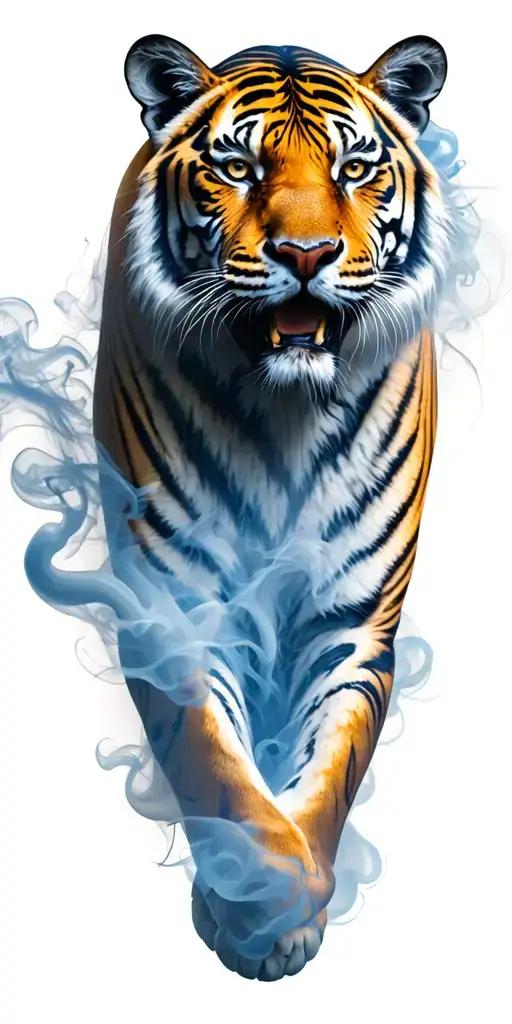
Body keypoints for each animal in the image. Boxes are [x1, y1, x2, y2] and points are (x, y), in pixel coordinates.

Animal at [93, 32, 454, 981]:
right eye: (238, 166)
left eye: (354, 167)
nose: (306, 254)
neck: (283, 410)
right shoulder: (175, 609)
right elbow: (214, 760)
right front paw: (261, 897)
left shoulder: (353, 624)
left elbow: (329, 772)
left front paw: (287, 908)